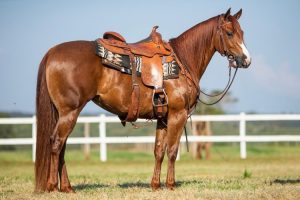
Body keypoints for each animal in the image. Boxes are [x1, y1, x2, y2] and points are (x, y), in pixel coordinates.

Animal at [34, 8, 251, 192]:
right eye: (229, 33)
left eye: (242, 32)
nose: (246, 60)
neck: (182, 60)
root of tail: (52, 52)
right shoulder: (178, 115)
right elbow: (173, 150)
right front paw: (171, 185)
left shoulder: (163, 118)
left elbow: (159, 151)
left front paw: (155, 185)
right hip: (70, 112)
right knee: (57, 144)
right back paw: (53, 186)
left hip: (63, 114)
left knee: (62, 147)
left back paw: (67, 187)